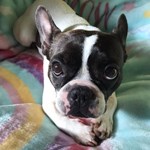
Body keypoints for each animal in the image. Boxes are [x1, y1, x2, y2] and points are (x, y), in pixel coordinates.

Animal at [13, 0, 127, 146]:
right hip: (24, 35)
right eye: (56, 68)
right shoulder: (50, 102)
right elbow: (61, 119)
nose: (81, 93)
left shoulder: (111, 93)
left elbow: (112, 102)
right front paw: (82, 133)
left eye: (111, 72)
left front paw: (104, 122)